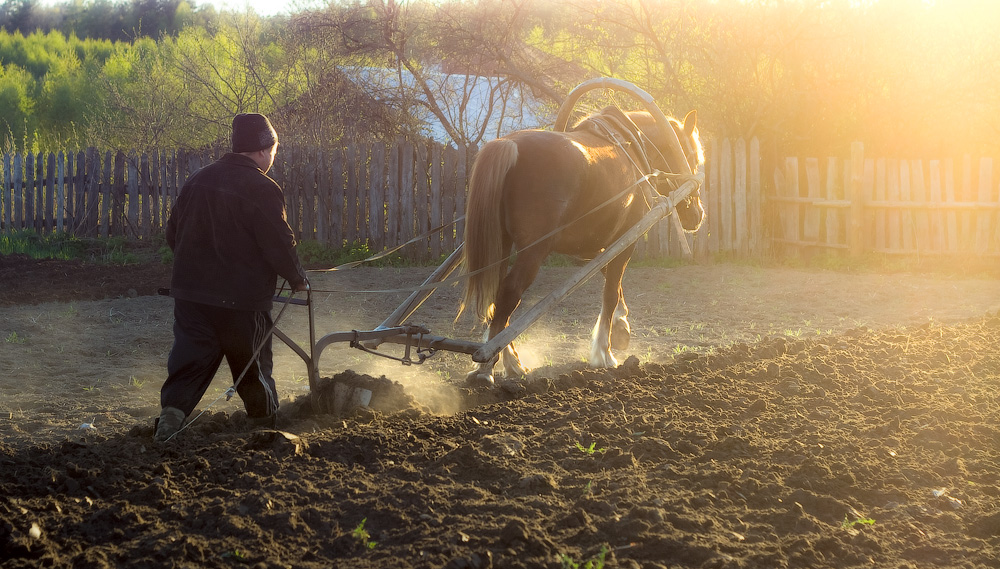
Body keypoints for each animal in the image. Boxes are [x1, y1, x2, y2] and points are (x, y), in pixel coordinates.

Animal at [458, 104, 708, 384]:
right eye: (692, 156)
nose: (697, 214)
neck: (633, 147)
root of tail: (509, 145)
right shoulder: (625, 240)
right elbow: (610, 292)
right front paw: (604, 353)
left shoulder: (594, 247)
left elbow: (613, 283)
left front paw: (621, 328)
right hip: (533, 252)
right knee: (509, 294)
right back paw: (490, 367)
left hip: (502, 245)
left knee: (496, 301)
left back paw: (510, 360)